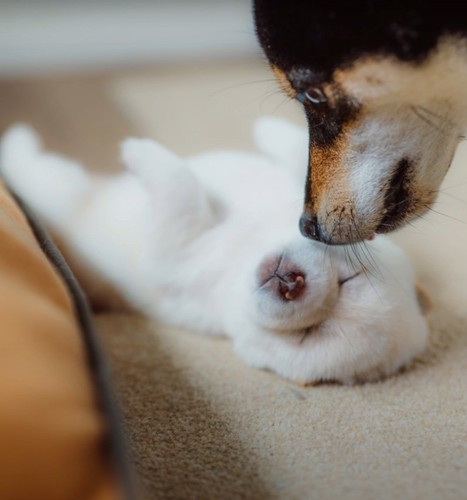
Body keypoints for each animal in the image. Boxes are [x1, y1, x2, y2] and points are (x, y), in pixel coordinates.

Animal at [0, 119, 432, 384]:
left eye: (310, 335)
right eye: (347, 280)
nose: (291, 283)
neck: (246, 248)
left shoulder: (175, 253)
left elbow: (181, 192)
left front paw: (143, 154)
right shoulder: (317, 206)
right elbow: (300, 155)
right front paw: (271, 128)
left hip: (59, 186)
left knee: (29, 166)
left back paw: (17, 143)